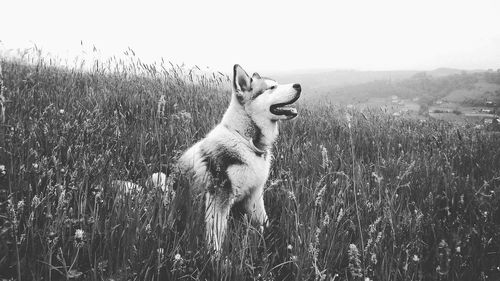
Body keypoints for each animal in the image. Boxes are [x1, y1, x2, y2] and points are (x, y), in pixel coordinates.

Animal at [175, 64, 300, 250]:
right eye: (271, 88)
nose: (299, 85)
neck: (245, 141)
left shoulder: (255, 194)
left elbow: (265, 222)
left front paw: (272, 238)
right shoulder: (220, 195)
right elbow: (217, 232)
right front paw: (215, 255)